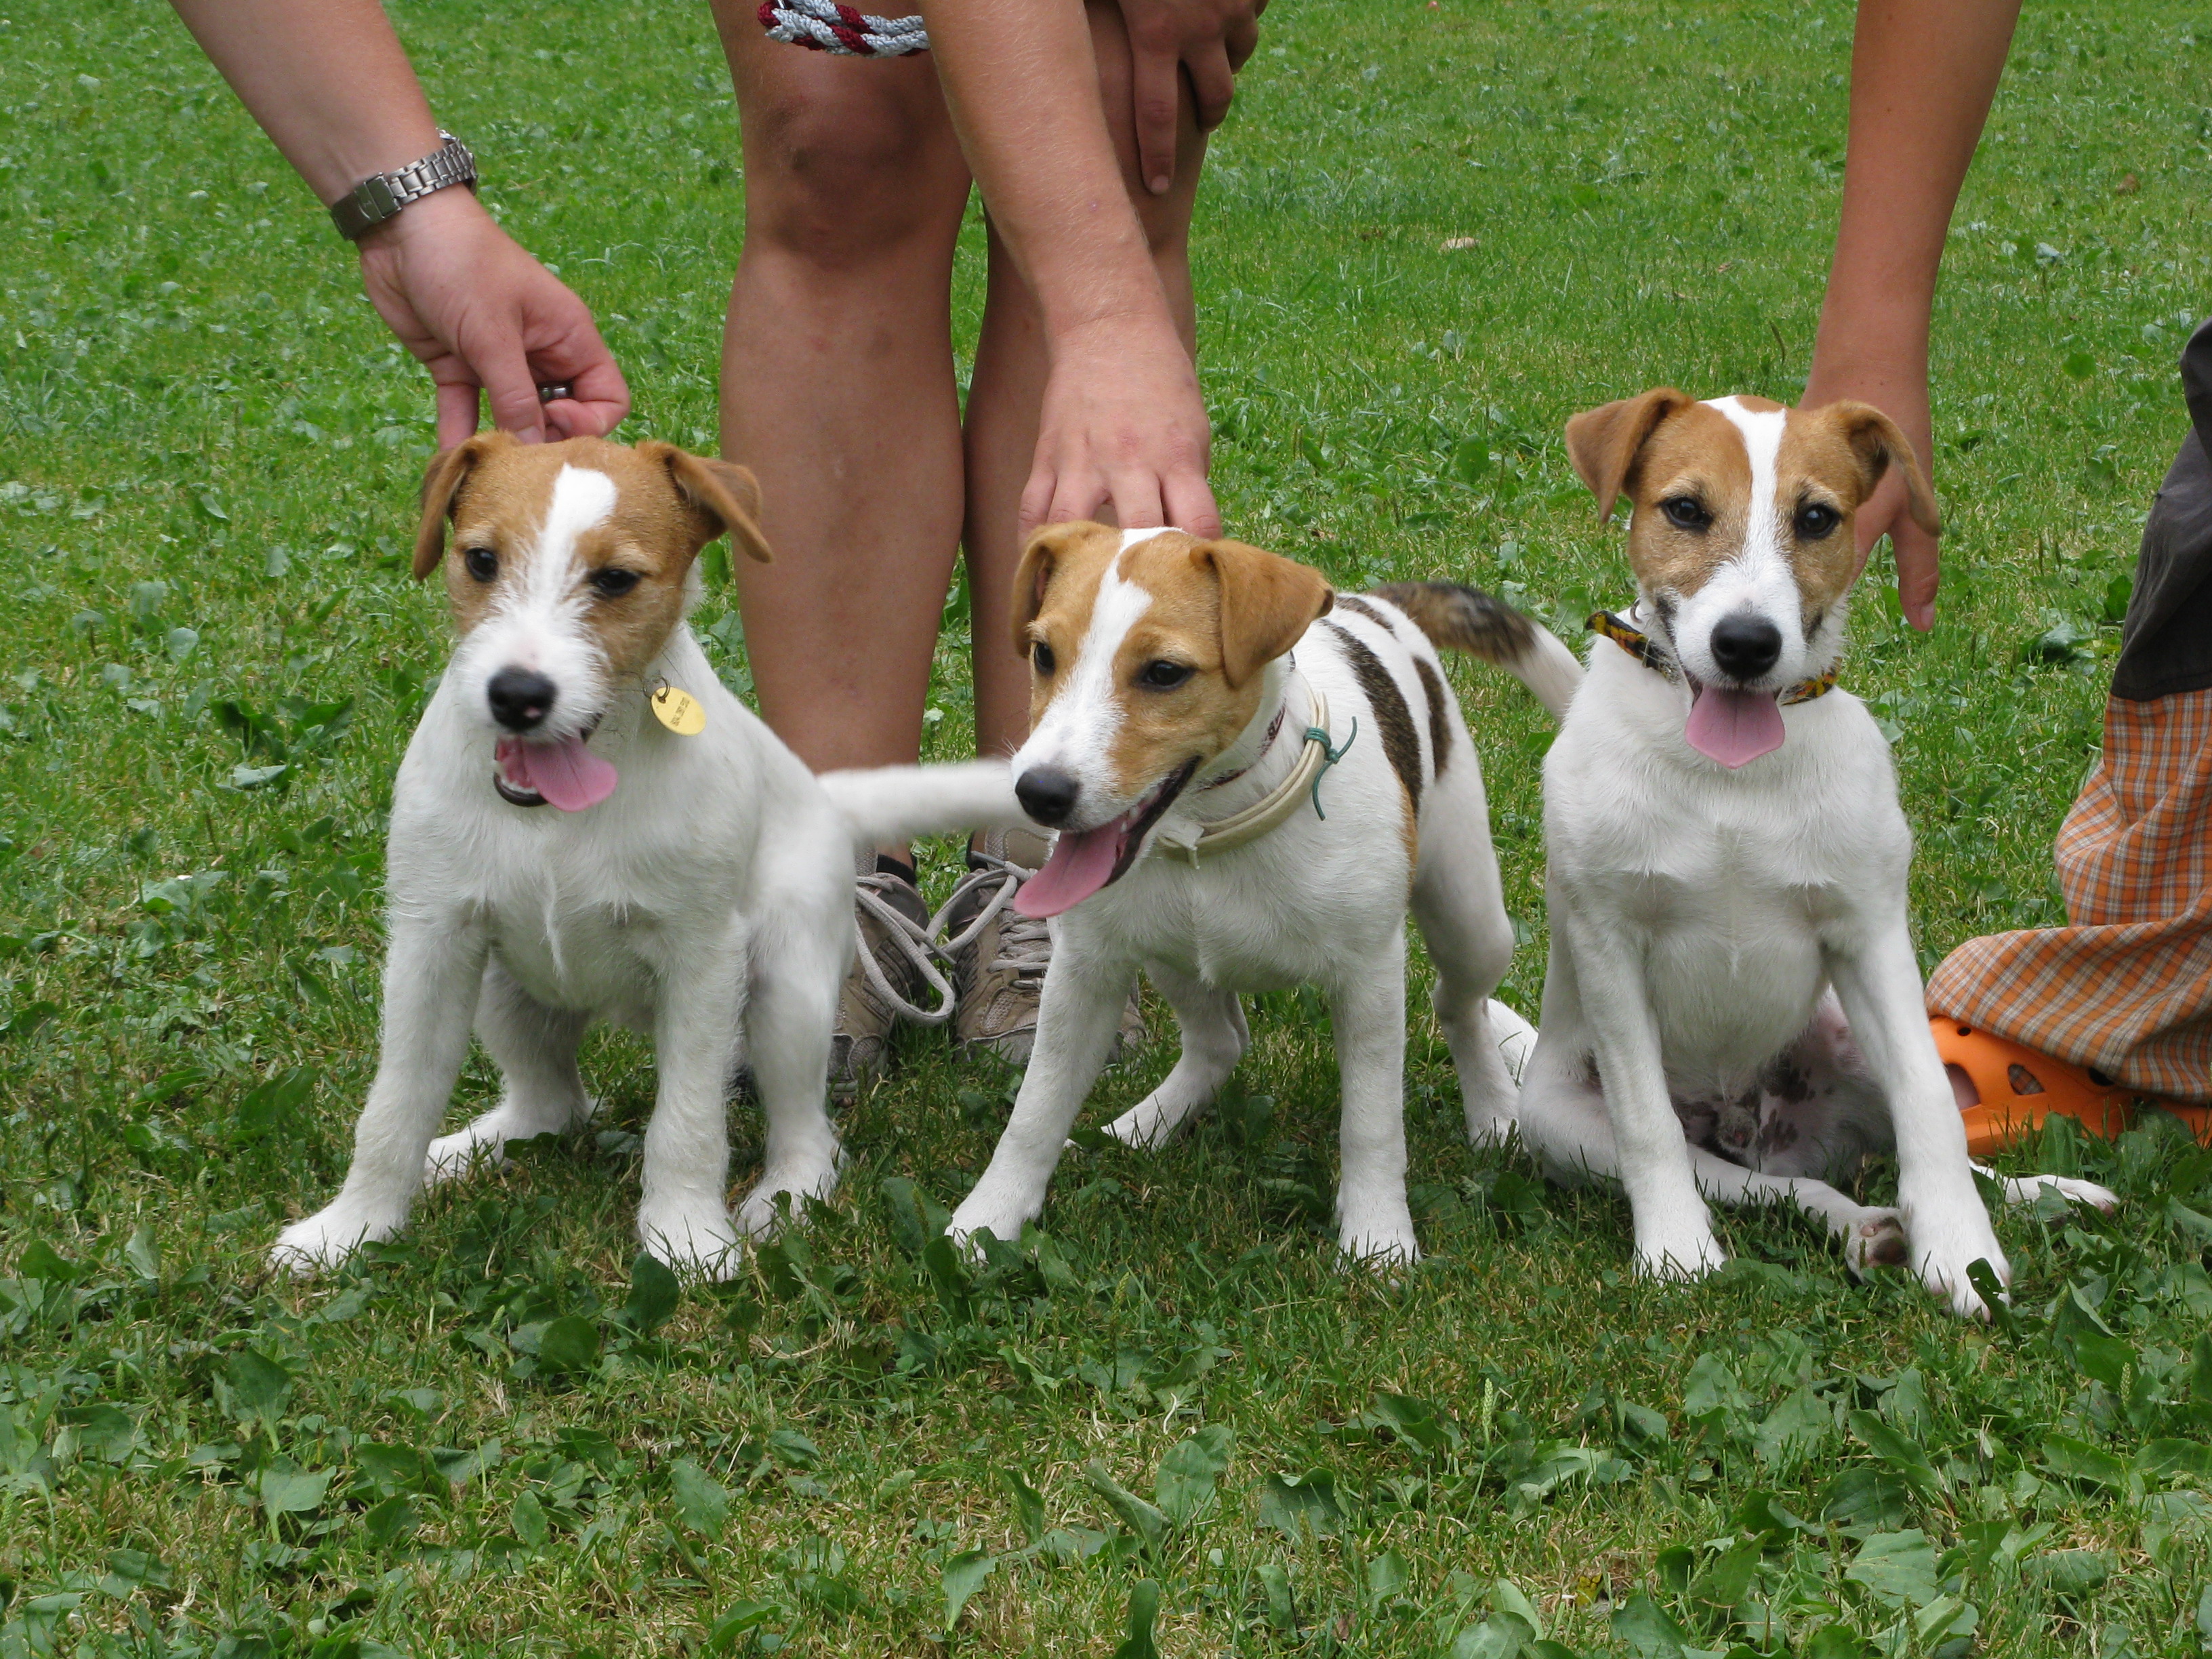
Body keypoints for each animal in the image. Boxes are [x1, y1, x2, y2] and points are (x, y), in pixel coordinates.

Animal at [272, 436, 1021, 1283]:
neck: (558, 816)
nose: (517, 695)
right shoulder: (431, 945)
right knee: (553, 1106)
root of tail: (827, 800)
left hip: (788, 995)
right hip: (500, 989)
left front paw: (686, 1235)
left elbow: (687, 1121)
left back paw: (783, 1196)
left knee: (811, 1133)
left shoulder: (701, 960)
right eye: (481, 561)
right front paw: (353, 1227)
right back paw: (466, 1151)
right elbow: (393, 1106)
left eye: (616, 580)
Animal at [937, 526, 1574, 1265]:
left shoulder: (1368, 978)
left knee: (1459, 1003)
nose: (1039, 793)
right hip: (1165, 957)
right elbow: (1034, 1110)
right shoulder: (1084, 972)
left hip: (1469, 914)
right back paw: (1142, 1126)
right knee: (1220, 1043)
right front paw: (987, 1220)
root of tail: (1374, 606)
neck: (1210, 829)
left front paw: (1378, 1238)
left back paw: (1495, 1111)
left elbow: (1372, 1120)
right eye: (1043, 654)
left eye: (1164, 673)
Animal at [1513, 396, 2114, 1318]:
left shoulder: (1869, 934)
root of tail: (1756, 1127)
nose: (1746, 644)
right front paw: (1676, 1252)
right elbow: (1649, 1125)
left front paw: (1962, 1250)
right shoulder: (1608, 940)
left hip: (1848, 1034)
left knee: (1905, 1136)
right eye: (1684, 509)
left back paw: (2035, 1195)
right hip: (1567, 1123)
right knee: (1762, 1185)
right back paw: (1857, 1225)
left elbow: (1931, 1107)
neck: (1729, 778)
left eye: (1818, 518)